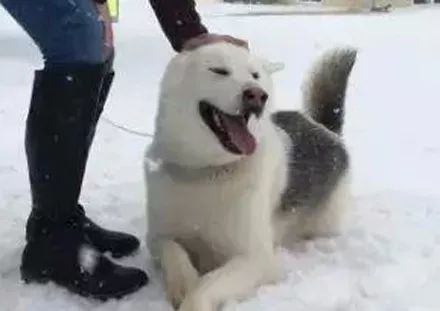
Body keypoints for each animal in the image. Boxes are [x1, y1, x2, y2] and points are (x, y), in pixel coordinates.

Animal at [145, 42, 358, 311]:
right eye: (219, 70)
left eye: (255, 75)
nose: (256, 95)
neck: (209, 171)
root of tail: (323, 128)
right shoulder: (157, 237)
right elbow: (174, 253)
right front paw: (183, 282)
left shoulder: (256, 259)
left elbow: (206, 286)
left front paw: (192, 298)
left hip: (323, 225)